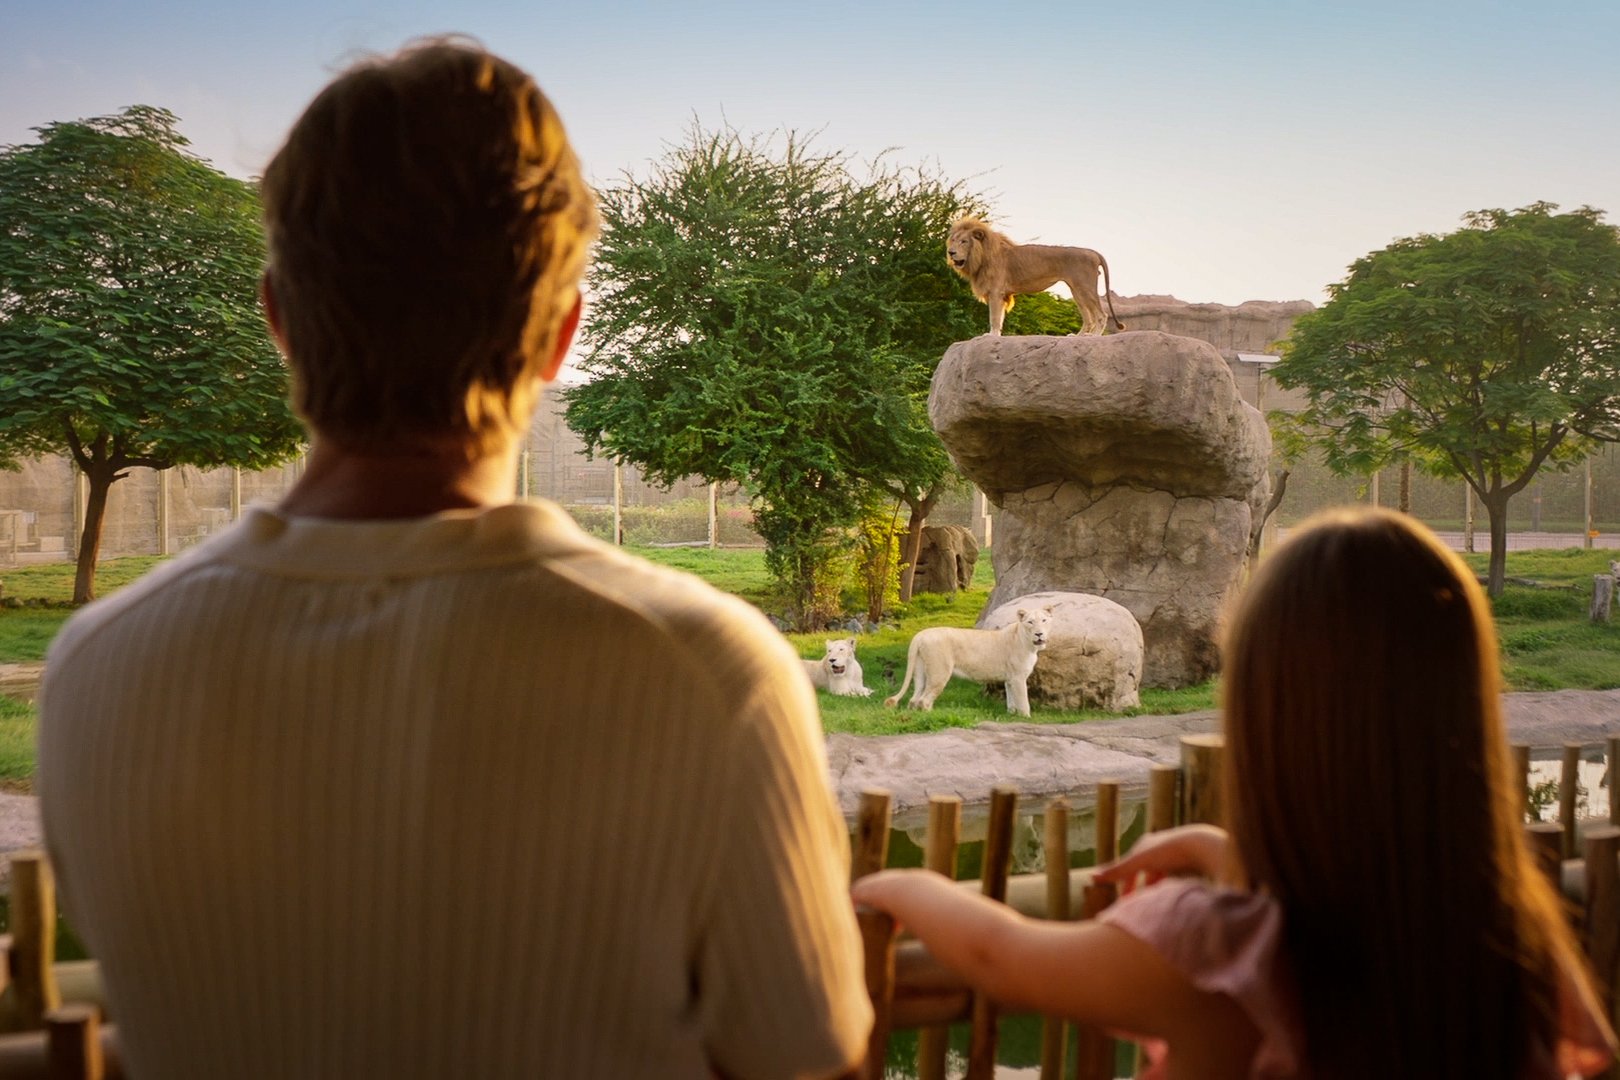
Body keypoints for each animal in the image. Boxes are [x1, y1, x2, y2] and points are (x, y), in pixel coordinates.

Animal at [881, 608, 1056, 718]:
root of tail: (920, 635)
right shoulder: (1018, 678)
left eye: (1044, 620)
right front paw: (1026, 717)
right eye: (1030, 622)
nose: (1039, 634)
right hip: (939, 672)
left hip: (919, 671)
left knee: (914, 699)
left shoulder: (1010, 679)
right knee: (924, 700)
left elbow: (1011, 698)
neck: (1030, 645)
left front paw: (1011, 714)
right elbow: (1023, 699)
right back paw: (931, 716)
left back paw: (913, 715)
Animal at [946, 216, 1127, 335]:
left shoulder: (996, 292)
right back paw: (1078, 337)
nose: (951, 252)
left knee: (1101, 315)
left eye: (964, 241)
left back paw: (1093, 336)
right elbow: (1000, 317)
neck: (981, 257)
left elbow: (995, 317)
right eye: (953, 240)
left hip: (1084, 287)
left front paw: (992, 336)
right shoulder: (1002, 294)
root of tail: (1094, 252)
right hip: (1077, 290)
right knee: (1088, 318)